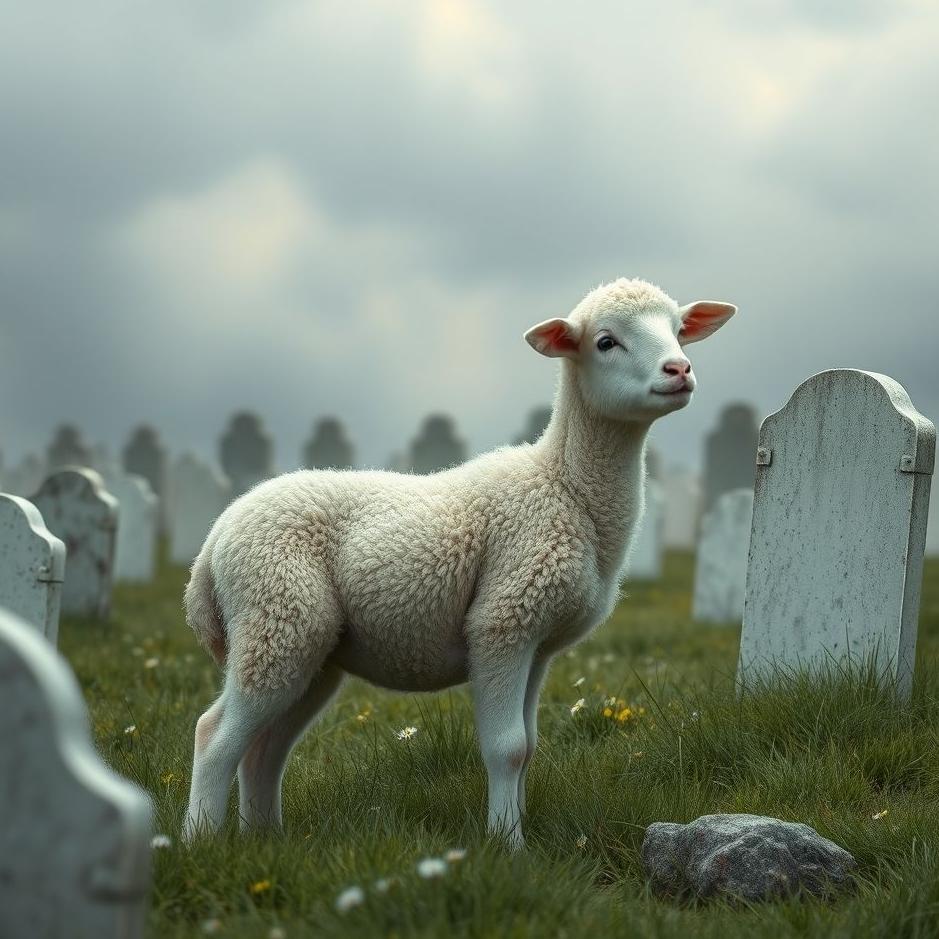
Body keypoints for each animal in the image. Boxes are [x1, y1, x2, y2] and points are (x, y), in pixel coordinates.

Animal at [183, 277, 736, 848]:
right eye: (605, 342)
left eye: (679, 331)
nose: (679, 370)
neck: (565, 488)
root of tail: (211, 545)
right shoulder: (504, 621)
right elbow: (508, 747)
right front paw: (507, 846)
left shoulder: (539, 646)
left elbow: (529, 745)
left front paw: (515, 827)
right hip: (276, 615)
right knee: (215, 735)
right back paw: (201, 841)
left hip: (310, 649)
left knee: (264, 749)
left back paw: (266, 839)